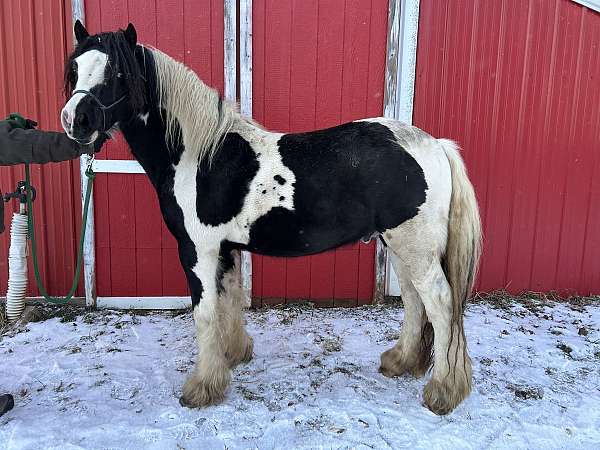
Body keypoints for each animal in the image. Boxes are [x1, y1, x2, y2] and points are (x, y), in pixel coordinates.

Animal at [61, 21, 482, 414]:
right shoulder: (225, 248)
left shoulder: (197, 250)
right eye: (76, 67)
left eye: (116, 72)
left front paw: (201, 387)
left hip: (415, 247)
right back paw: (401, 362)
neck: (198, 156)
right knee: (413, 301)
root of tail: (435, 145)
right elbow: (229, 301)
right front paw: (233, 356)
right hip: (399, 245)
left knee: (440, 304)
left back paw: (443, 391)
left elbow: (204, 313)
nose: (74, 120)